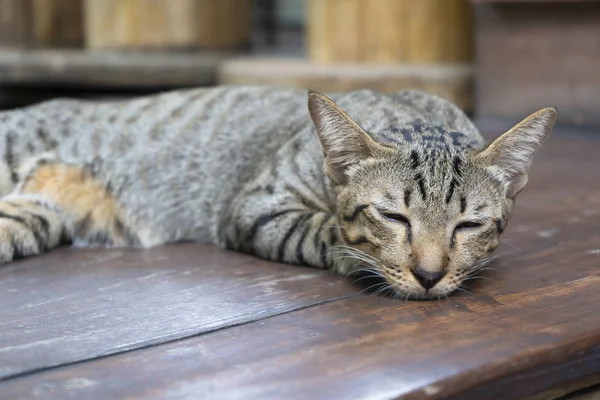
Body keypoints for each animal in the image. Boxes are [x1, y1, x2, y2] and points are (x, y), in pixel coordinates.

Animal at [0, 86, 556, 300]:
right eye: (394, 217)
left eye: (468, 225)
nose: (428, 275)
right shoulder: (256, 206)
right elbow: (325, 228)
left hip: (38, 218)